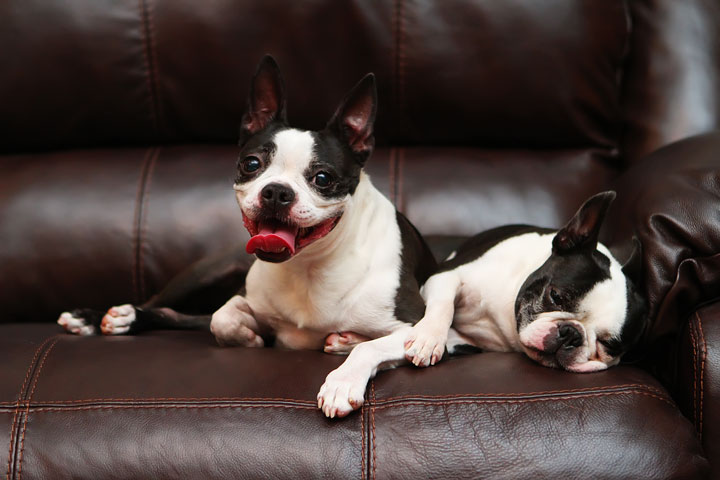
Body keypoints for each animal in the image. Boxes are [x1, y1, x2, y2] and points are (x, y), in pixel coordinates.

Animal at [56, 55, 436, 416]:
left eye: (323, 178)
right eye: (251, 164)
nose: (277, 192)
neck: (311, 265)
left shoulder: (416, 328)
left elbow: (369, 346)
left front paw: (342, 381)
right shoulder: (244, 298)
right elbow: (222, 318)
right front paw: (248, 337)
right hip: (206, 271)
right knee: (162, 304)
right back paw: (104, 317)